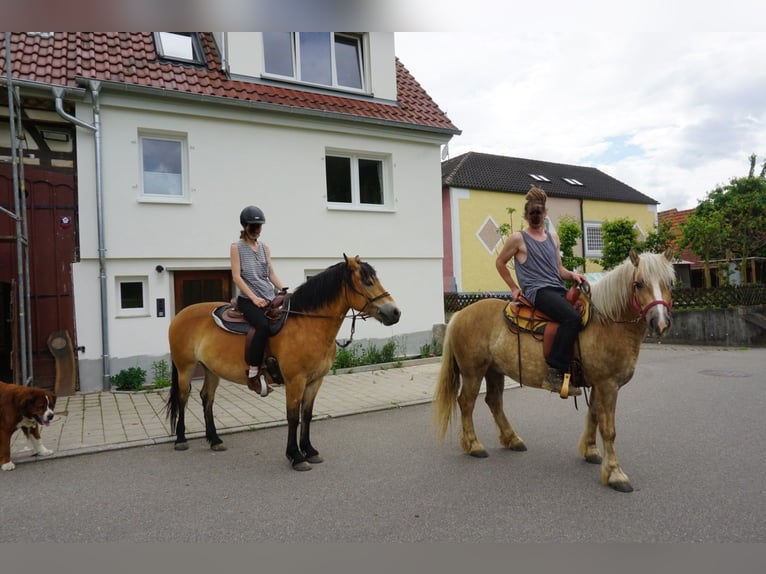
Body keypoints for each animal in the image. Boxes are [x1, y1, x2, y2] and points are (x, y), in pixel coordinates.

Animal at [166, 256, 402, 472]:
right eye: (367, 281)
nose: (395, 312)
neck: (307, 324)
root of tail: (180, 315)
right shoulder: (295, 381)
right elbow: (293, 417)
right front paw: (296, 456)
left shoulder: (315, 381)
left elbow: (307, 415)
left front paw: (310, 450)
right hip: (185, 367)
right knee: (183, 397)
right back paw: (181, 440)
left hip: (211, 370)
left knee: (207, 398)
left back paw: (214, 440)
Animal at [436, 250, 676, 492]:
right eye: (638, 284)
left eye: (669, 283)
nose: (660, 323)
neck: (607, 323)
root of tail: (459, 315)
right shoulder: (608, 385)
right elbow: (609, 429)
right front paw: (616, 474)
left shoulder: (598, 384)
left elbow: (594, 416)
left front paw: (591, 451)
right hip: (473, 373)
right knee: (466, 403)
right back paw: (474, 445)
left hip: (494, 371)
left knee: (494, 401)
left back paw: (512, 439)